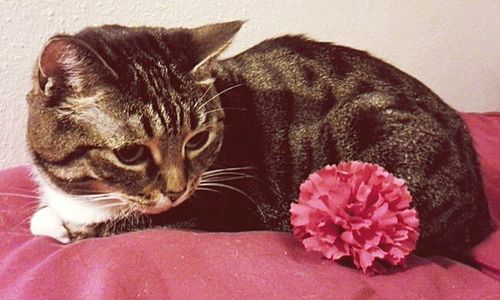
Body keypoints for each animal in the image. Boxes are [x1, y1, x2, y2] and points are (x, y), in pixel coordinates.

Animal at [27, 20, 492, 255]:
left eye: (197, 139)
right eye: (130, 153)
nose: (178, 190)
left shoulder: (228, 209)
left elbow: (120, 229)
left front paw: (60, 226)